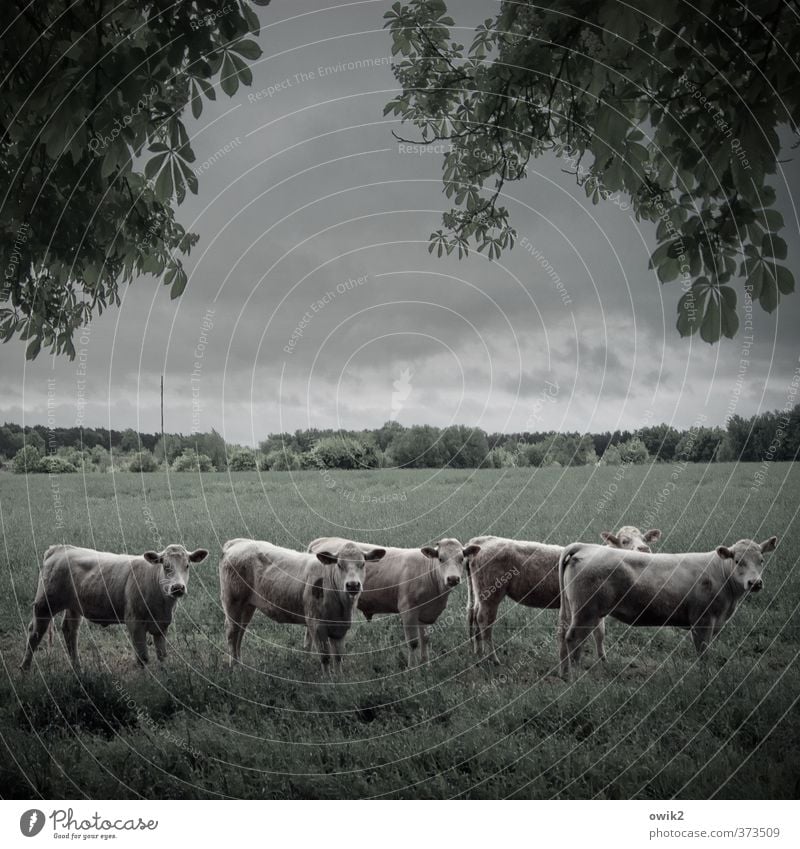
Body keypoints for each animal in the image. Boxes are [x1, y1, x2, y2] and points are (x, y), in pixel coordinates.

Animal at [21, 544, 209, 668]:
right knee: (35, 633)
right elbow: (142, 658)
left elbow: (162, 656)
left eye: (187, 565)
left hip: (73, 607)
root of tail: (59, 549)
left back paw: (78, 670)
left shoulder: (161, 626)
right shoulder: (135, 623)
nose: (177, 587)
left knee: (69, 631)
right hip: (44, 605)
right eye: (165, 565)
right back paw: (25, 670)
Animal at [217, 540, 382, 672]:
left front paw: (339, 680)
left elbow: (338, 657)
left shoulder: (340, 628)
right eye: (339, 565)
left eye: (362, 564)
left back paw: (240, 664)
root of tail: (238, 543)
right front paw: (329, 683)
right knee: (232, 633)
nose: (353, 585)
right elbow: (325, 657)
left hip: (247, 606)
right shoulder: (316, 625)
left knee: (240, 632)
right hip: (232, 602)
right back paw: (234, 667)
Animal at [308, 536, 482, 668]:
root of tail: (321, 540)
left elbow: (425, 639)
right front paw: (413, 669)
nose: (452, 579)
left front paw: (425, 664)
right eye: (441, 558)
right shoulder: (408, 611)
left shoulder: (424, 613)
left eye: (461, 558)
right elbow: (413, 642)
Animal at [462, 524, 664, 664]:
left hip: (479, 592)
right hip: (491, 594)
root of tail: (481, 541)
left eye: (645, 539)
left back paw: (477, 652)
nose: (644, 549)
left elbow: (600, 633)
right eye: (624, 541)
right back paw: (493, 659)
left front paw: (603, 660)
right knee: (484, 621)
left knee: (472, 615)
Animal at [556, 532, 776, 680]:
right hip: (586, 611)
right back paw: (571, 676)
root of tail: (586, 546)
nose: (755, 583)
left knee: (571, 637)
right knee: (573, 638)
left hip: (581, 612)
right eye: (738, 561)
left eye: (762, 560)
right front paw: (705, 678)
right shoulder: (702, 621)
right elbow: (703, 653)